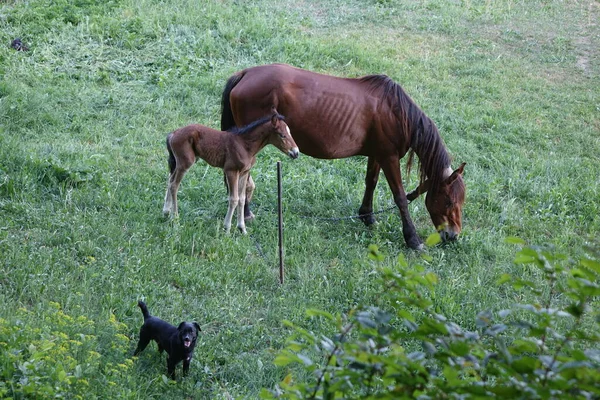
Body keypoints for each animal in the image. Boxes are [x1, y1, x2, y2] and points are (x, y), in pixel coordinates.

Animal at [163, 111, 298, 234]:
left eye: (290, 132)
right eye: (282, 135)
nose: (295, 152)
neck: (245, 145)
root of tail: (173, 134)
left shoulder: (244, 172)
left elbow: (242, 199)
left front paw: (242, 229)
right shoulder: (231, 171)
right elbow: (234, 199)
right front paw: (227, 229)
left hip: (182, 162)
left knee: (170, 181)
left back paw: (166, 212)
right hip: (185, 162)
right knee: (174, 185)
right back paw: (175, 219)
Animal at [223, 63, 466, 248]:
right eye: (448, 201)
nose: (453, 235)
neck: (397, 113)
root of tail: (245, 74)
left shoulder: (377, 155)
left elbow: (371, 182)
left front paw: (367, 216)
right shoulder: (389, 158)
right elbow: (400, 198)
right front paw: (413, 239)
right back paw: (245, 213)